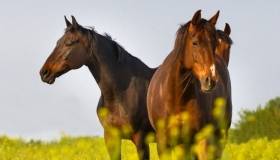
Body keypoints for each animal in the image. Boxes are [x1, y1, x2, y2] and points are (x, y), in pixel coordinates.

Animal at [39, 15, 156, 160]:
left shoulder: (141, 140)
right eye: (58, 42)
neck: (121, 95)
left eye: (69, 42)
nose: (44, 72)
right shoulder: (111, 138)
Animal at [147, 10, 232, 160]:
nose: (210, 80)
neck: (176, 96)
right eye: (195, 42)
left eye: (214, 43)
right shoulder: (163, 142)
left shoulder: (200, 139)